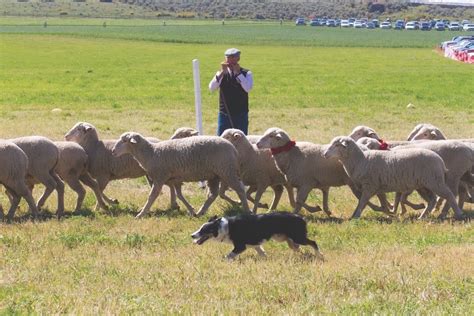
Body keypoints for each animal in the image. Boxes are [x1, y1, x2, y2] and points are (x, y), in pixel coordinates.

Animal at [112, 131, 250, 217]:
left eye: (124, 140)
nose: (113, 151)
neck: (152, 153)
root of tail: (233, 149)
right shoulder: (175, 179)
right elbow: (179, 195)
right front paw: (191, 210)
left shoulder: (160, 177)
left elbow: (152, 196)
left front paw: (141, 213)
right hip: (215, 175)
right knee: (212, 195)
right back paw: (200, 212)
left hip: (227, 171)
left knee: (240, 190)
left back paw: (247, 210)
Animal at [322, 136, 462, 220]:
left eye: (337, 145)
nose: (324, 154)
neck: (361, 160)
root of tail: (440, 161)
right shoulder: (377, 188)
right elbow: (380, 202)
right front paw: (389, 212)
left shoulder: (369, 186)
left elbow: (362, 202)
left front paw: (355, 216)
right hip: (424, 185)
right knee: (432, 200)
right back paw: (422, 216)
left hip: (435, 181)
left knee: (449, 195)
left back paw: (458, 214)